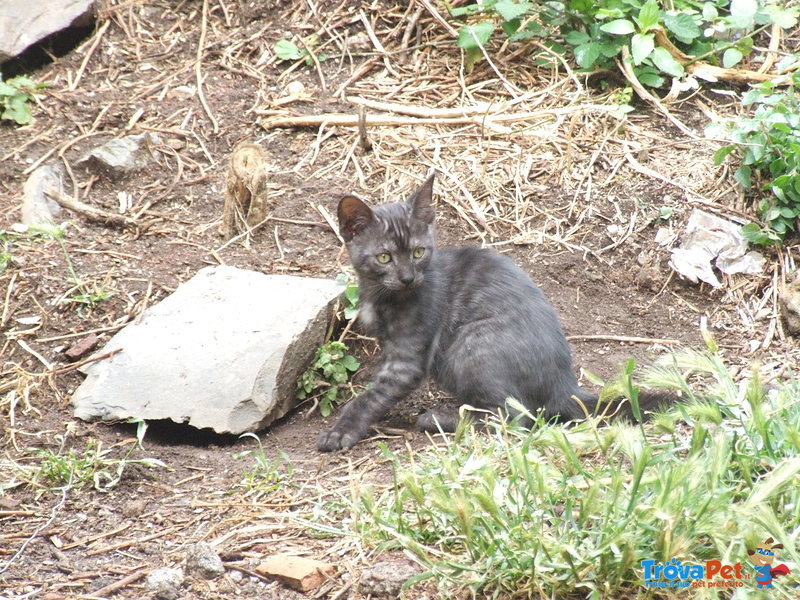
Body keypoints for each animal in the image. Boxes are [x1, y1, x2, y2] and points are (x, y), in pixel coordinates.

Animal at [318, 176, 656, 452]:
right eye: (384, 258)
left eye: (418, 252)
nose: (407, 278)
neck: (383, 296)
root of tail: (564, 385)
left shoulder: (407, 359)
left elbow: (372, 396)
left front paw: (341, 431)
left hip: (470, 345)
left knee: (514, 418)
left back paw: (439, 418)